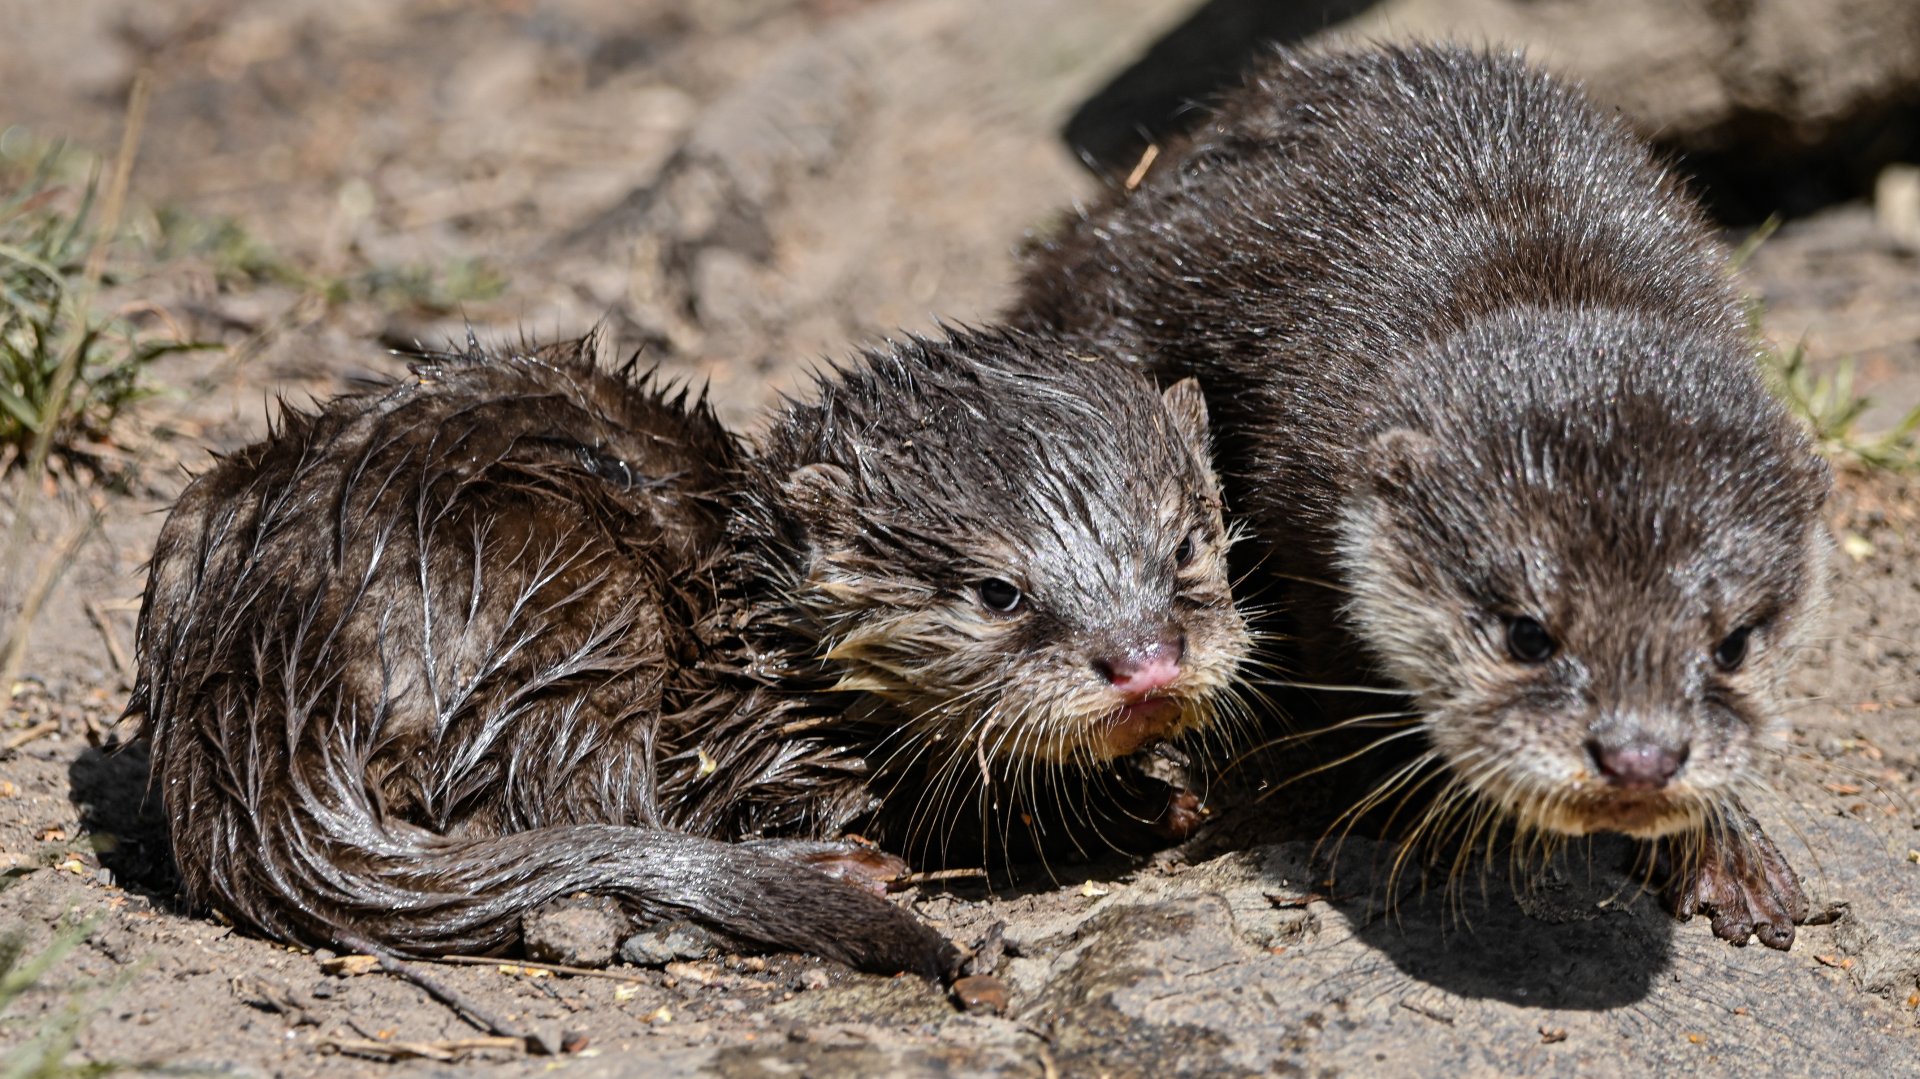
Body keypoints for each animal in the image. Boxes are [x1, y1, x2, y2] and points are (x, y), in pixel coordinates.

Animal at [128, 328, 1249, 979]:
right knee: (581, 795)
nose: (1144, 659)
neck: (764, 639)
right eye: (998, 591)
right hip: (568, 597)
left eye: (1185, 544)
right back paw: (836, 867)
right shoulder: (756, 736)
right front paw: (1143, 803)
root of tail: (265, 687)